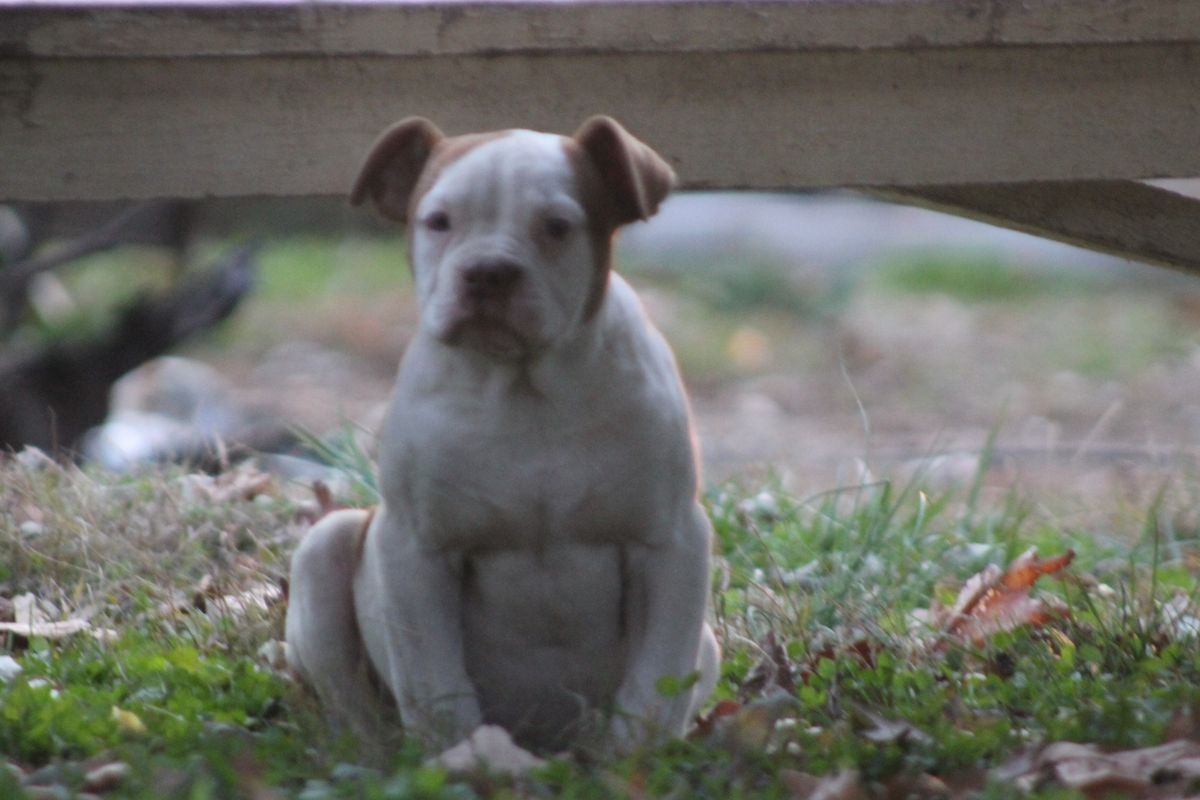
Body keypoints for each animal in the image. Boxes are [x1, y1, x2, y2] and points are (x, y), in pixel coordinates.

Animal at [285, 115, 715, 753]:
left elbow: (653, 682)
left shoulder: (671, 542)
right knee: (351, 702)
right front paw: (464, 756)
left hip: (706, 643)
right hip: (325, 546)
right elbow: (435, 680)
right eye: (438, 221)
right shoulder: (414, 549)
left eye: (557, 227)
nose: (489, 270)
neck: (522, 393)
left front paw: (630, 760)